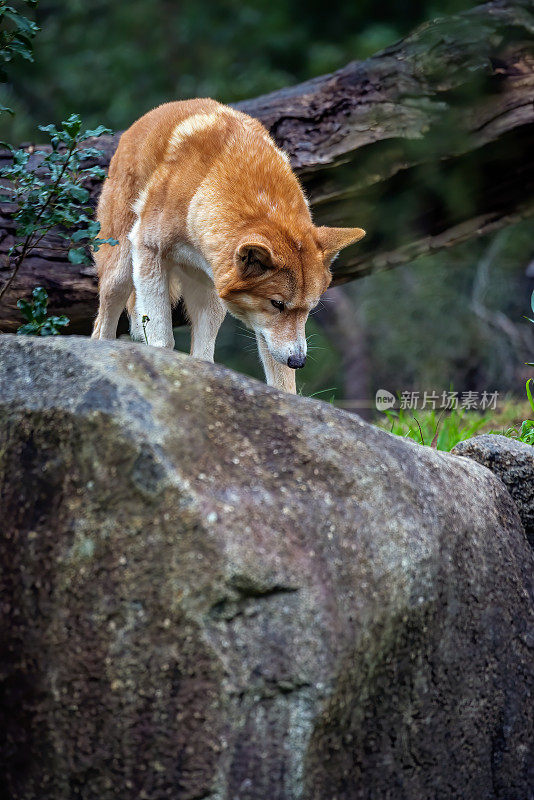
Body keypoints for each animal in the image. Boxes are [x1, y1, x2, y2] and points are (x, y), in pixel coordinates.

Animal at [93, 100, 368, 394]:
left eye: (309, 308)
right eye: (277, 303)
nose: (298, 361)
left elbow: (283, 381)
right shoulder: (149, 251)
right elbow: (162, 340)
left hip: (208, 294)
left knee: (203, 354)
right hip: (121, 271)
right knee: (101, 326)